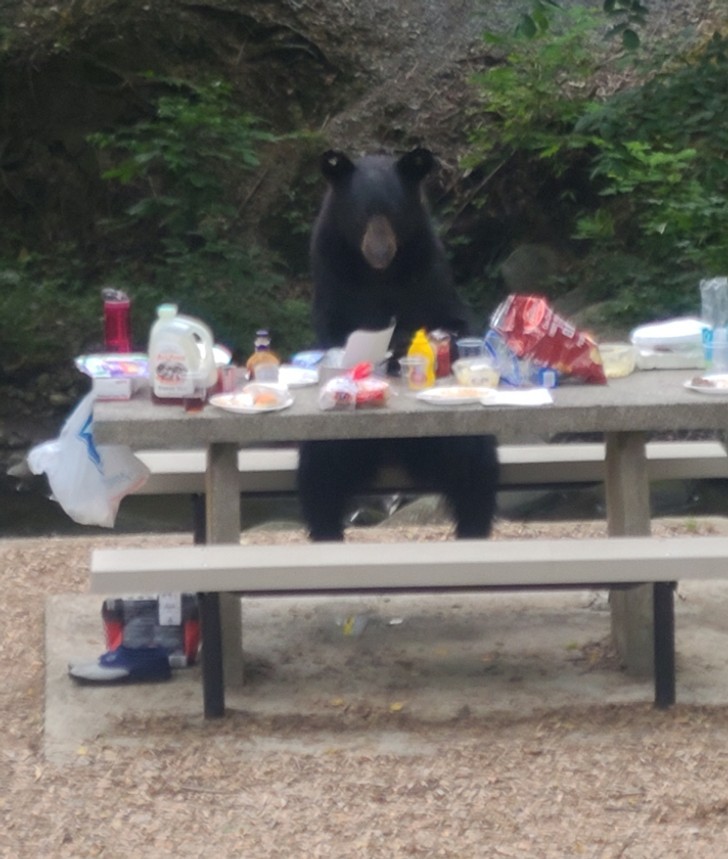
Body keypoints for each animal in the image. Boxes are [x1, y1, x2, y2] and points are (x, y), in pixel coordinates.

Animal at [298, 145, 498, 540]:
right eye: (362, 214)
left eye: (393, 213)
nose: (380, 251)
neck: (379, 276)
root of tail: (394, 457)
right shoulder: (332, 271)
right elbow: (335, 331)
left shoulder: (425, 267)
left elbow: (451, 320)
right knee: (321, 476)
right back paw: (326, 530)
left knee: (474, 469)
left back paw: (472, 527)